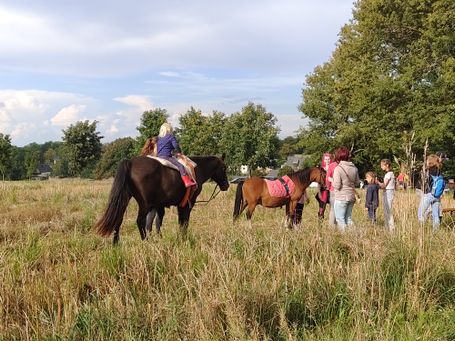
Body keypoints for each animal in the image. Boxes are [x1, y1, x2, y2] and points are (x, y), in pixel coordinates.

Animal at [97, 155, 230, 243]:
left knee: (119, 218)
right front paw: (183, 238)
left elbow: (175, 222)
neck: (197, 169)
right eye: (224, 168)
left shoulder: (169, 206)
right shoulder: (188, 204)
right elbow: (184, 222)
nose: (226, 185)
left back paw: (116, 243)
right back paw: (145, 241)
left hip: (125, 200)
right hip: (144, 204)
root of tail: (130, 162)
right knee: (140, 220)